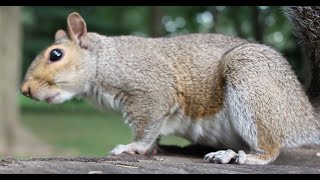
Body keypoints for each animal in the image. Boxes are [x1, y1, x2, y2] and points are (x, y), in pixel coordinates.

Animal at [20, 6, 320, 165]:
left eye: (55, 54)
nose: (25, 90)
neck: (104, 60)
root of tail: (306, 112)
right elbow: (155, 132)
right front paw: (153, 148)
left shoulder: (149, 93)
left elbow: (146, 128)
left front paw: (133, 147)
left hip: (252, 80)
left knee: (271, 148)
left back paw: (240, 156)